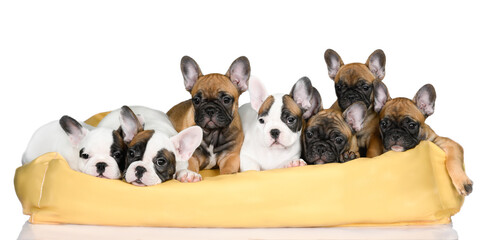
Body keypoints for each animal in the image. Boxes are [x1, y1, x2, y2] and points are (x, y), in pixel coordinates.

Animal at [168, 54, 251, 182]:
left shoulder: (230, 157)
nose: (210, 109)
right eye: (196, 100)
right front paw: (189, 175)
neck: (213, 133)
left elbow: (228, 170)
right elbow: (190, 167)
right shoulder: (192, 157)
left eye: (226, 99)